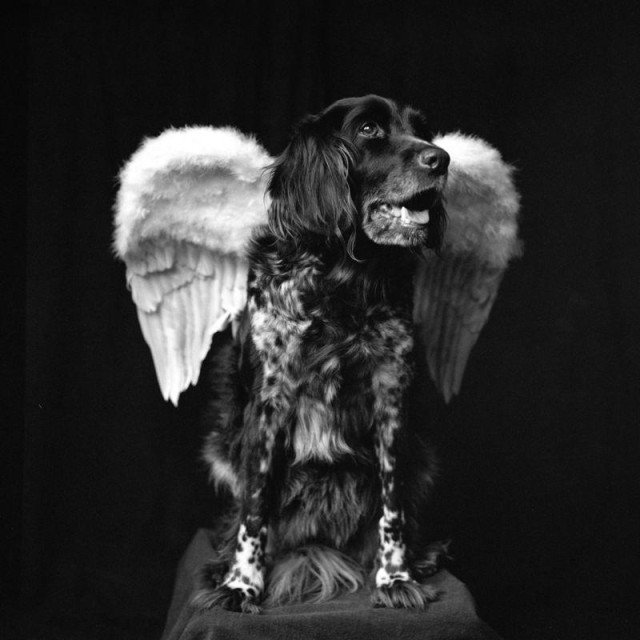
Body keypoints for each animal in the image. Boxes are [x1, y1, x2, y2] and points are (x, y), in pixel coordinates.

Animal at [198, 94, 452, 608]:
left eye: (421, 129)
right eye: (369, 128)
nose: (442, 159)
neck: (343, 282)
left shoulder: (392, 397)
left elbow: (392, 505)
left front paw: (395, 578)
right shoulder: (268, 403)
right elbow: (253, 510)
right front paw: (241, 583)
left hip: (426, 454)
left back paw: (421, 556)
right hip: (220, 444)